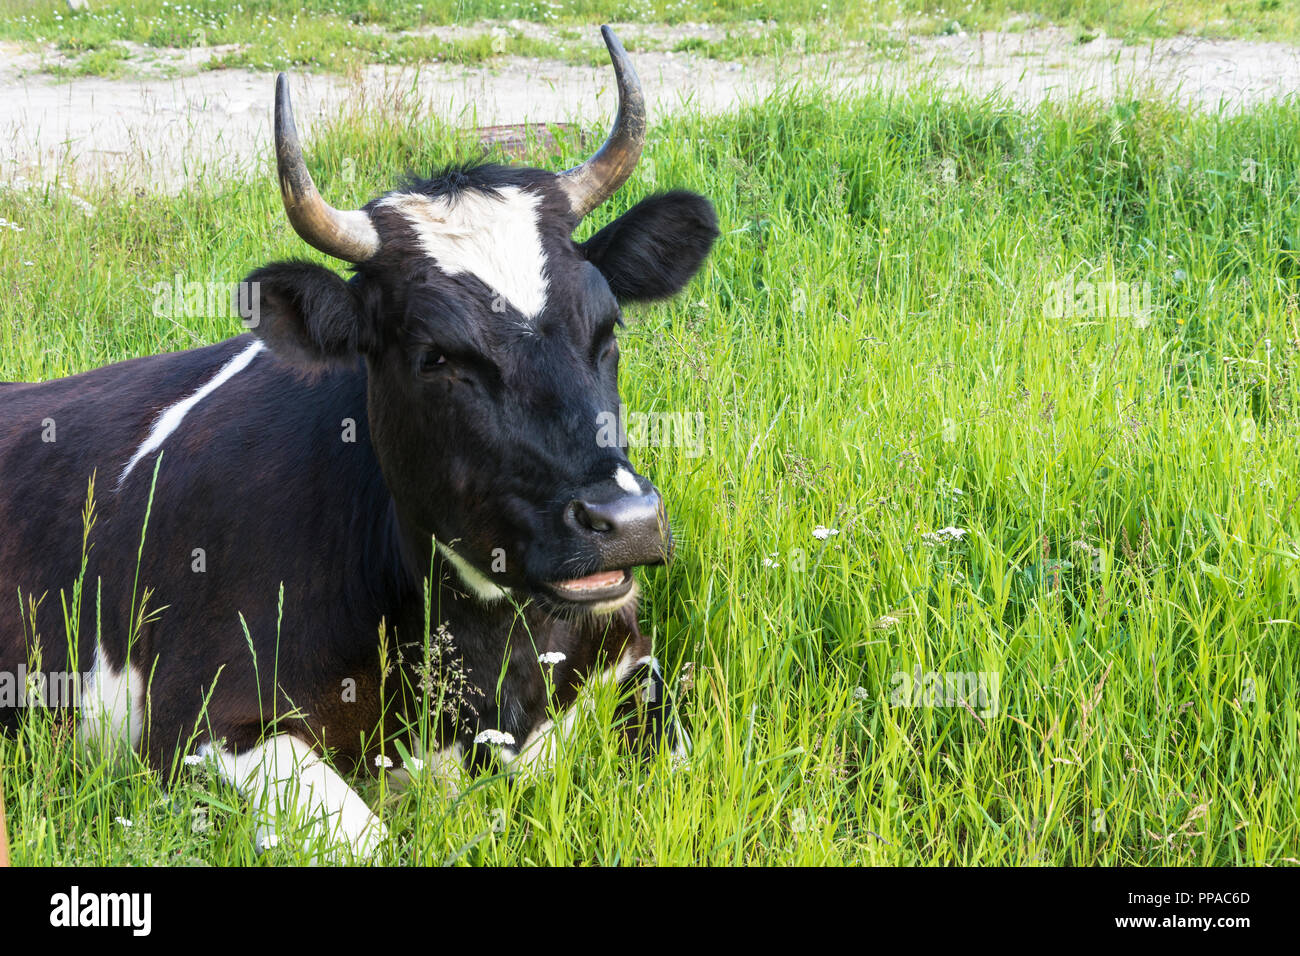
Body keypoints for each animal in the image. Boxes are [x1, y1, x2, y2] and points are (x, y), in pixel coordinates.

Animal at [0, 26, 722, 863]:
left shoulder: (630, 660)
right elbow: (368, 839)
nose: (624, 523)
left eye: (608, 328)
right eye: (434, 356)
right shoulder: (196, 723)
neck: (487, 665)